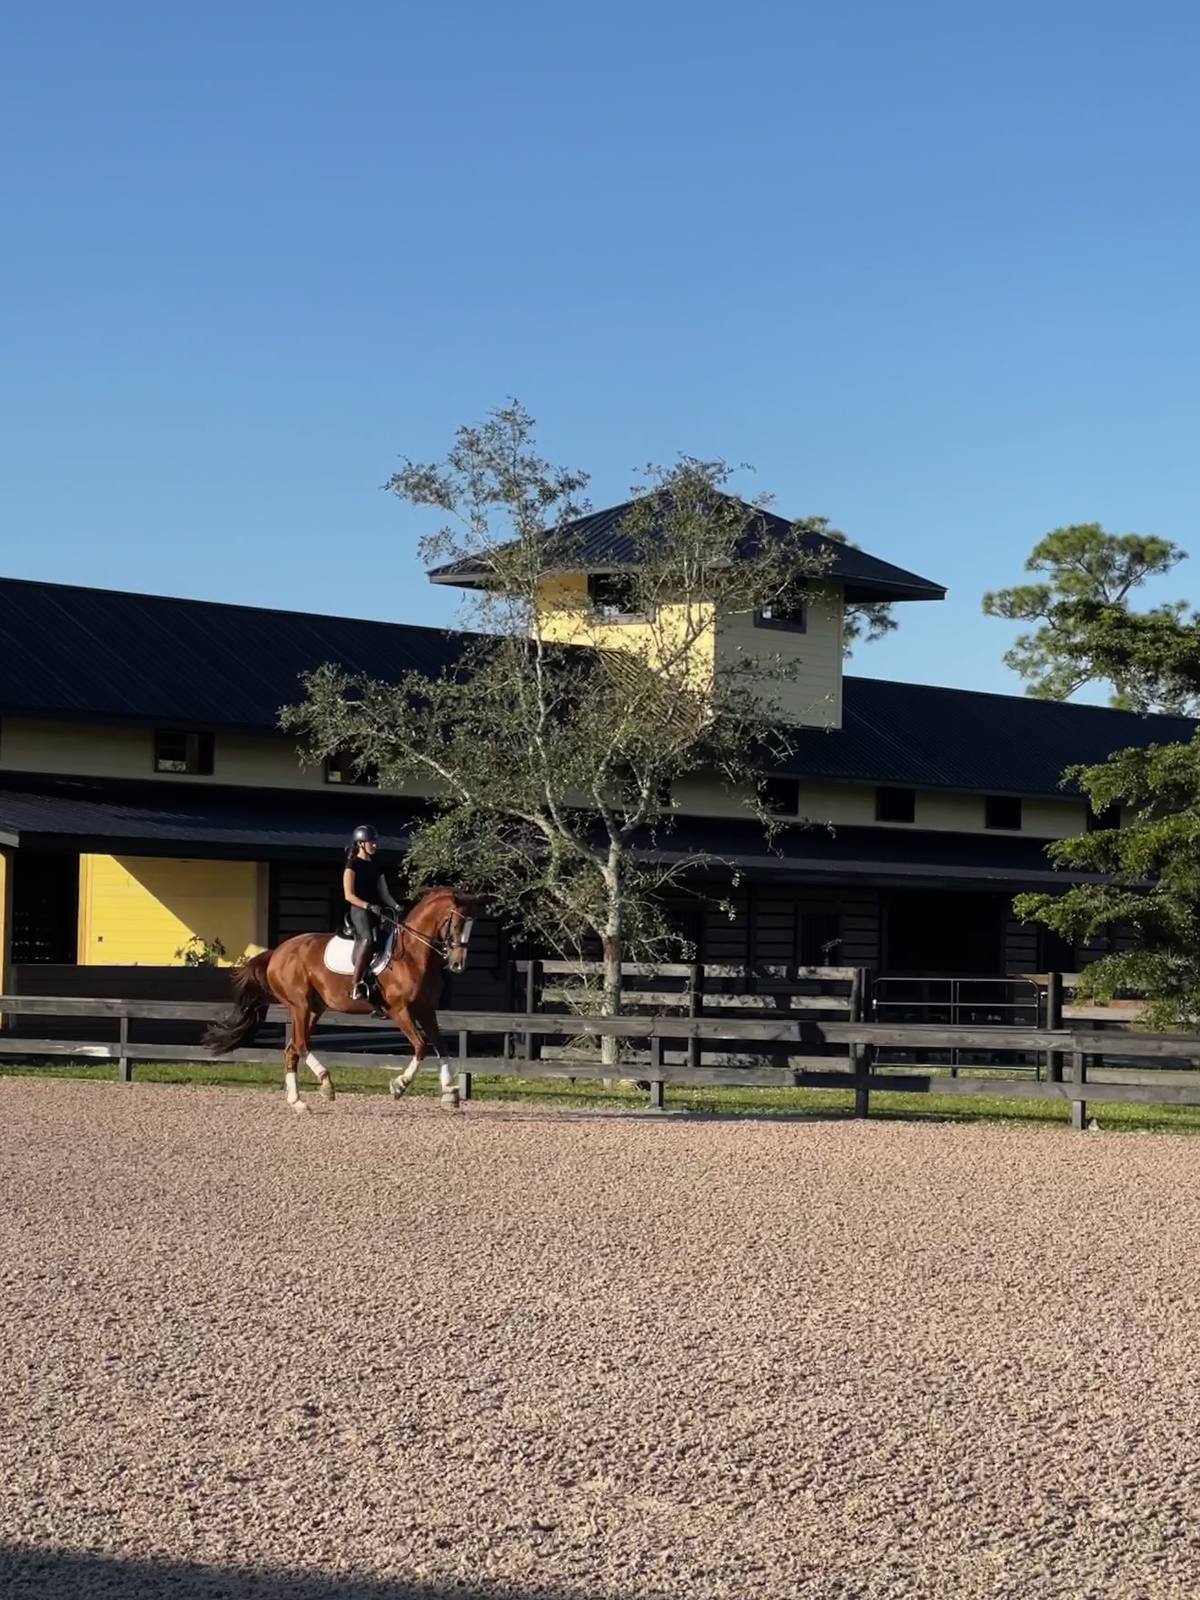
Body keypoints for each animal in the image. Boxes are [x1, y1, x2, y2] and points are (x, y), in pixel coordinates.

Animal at [202, 886, 479, 1112]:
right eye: (456, 924)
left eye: (471, 926)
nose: (457, 964)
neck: (413, 955)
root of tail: (277, 952)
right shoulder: (400, 1010)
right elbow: (421, 1046)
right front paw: (399, 1085)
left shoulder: (426, 1010)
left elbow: (442, 1047)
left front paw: (450, 1094)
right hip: (300, 1005)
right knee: (300, 1044)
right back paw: (326, 1084)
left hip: (314, 1009)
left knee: (292, 1049)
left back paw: (298, 1102)